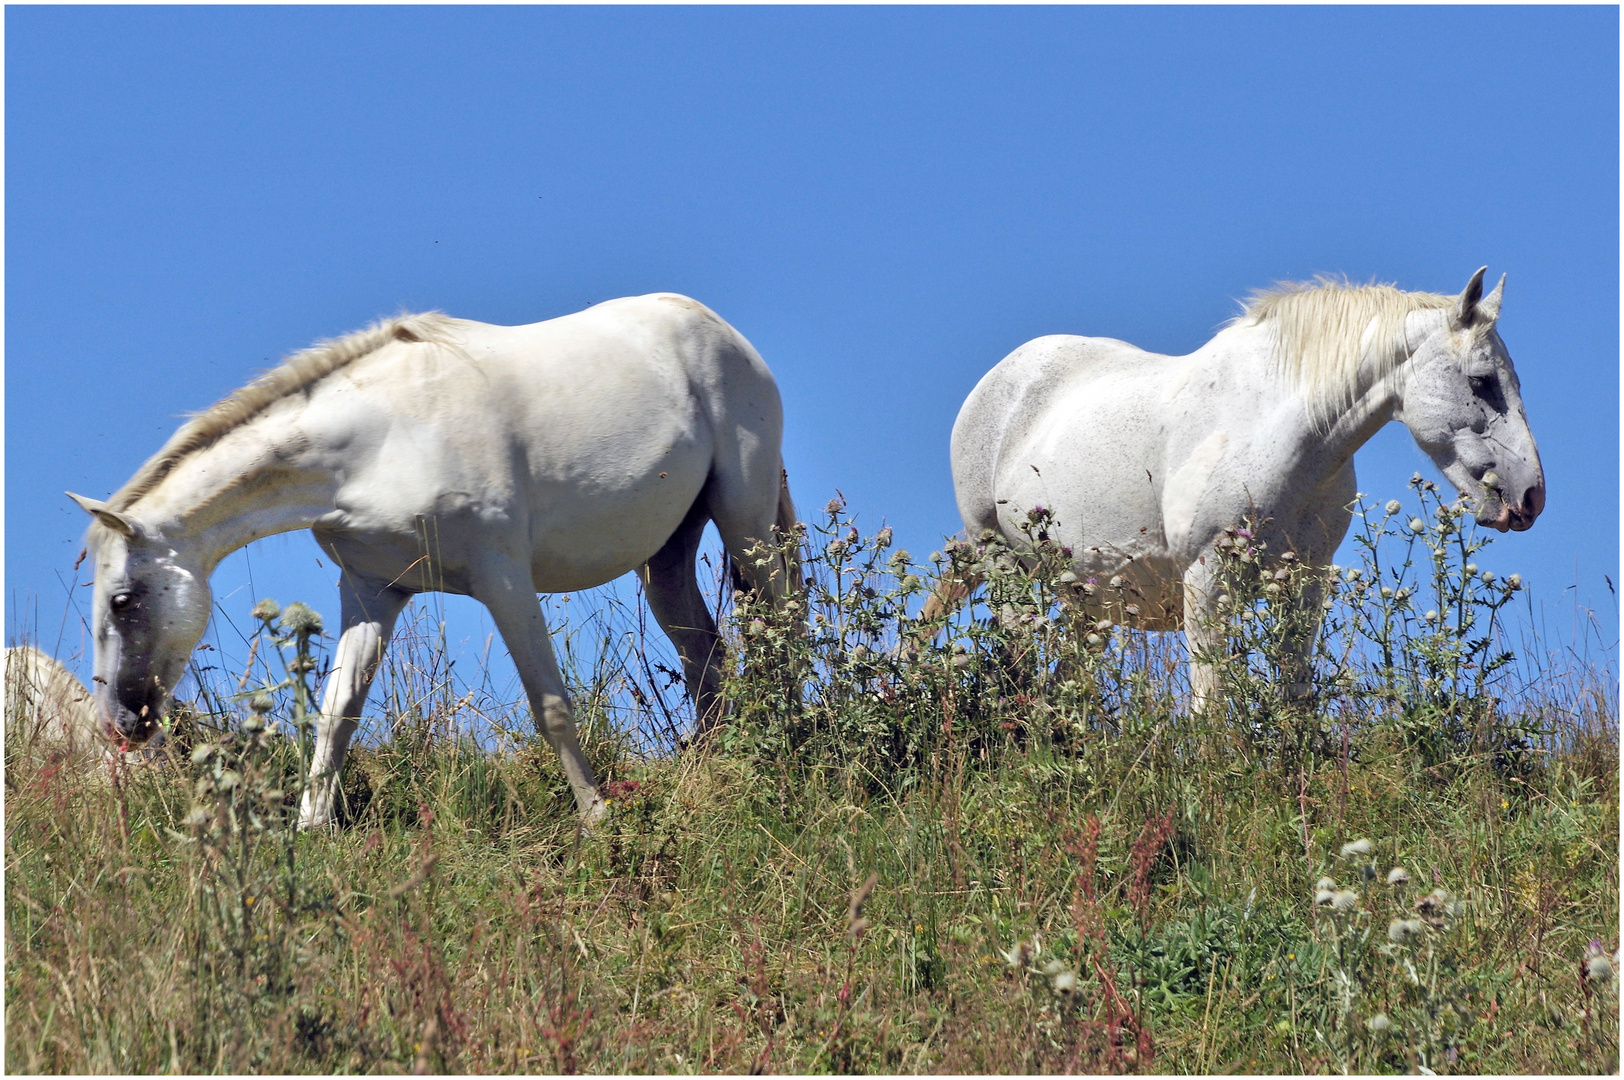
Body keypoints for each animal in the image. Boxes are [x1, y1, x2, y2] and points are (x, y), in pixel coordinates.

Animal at [69, 295, 799, 825]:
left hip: (746, 523)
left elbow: (551, 706)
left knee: (781, 630)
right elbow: (336, 718)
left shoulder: (504, 578)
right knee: (708, 657)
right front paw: (310, 832)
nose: (120, 725)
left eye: (123, 600)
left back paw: (791, 756)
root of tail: (717, 328)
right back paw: (710, 774)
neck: (381, 439)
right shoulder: (371, 593)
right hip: (664, 556)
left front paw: (597, 822)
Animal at [948, 269, 1539, 708]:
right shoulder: (1206, 579)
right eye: (1482, 382)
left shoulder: (1305, 584)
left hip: (1082, 598)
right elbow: (1210, 706)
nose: (1530, 496)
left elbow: (1294, 694)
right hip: (1002, 567)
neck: (1282, 433)